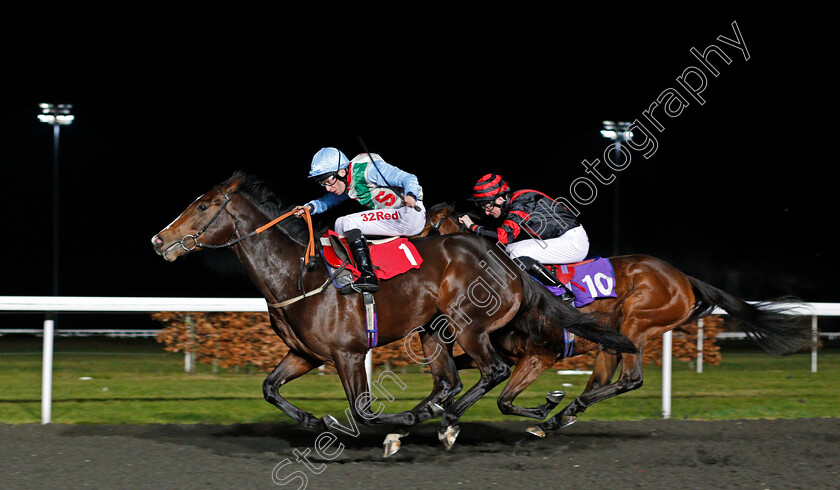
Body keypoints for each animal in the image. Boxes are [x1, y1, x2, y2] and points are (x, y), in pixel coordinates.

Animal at [151, 173, 636, 452]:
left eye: (202, 206)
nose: (158, 240)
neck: (299, 274)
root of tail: (506, 259)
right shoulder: (306, 353)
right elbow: (270, 388)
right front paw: (314, 419)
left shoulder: (348, 352)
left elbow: (363, 410)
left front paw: (393, 424)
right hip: (433, 331)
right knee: (450, 381)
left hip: (468, 325)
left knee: (492, 371)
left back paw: (450, 422)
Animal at [426, 203, 812, 436]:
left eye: (429, 225)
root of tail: (683, 278)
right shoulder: (507, 352)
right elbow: (472, 377)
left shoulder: (541, 355)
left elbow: (504, 400)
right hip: (611, 342)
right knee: (602, 382)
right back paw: (563, 415)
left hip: (636, 323)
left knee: (631, 379)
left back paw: (565, 411)